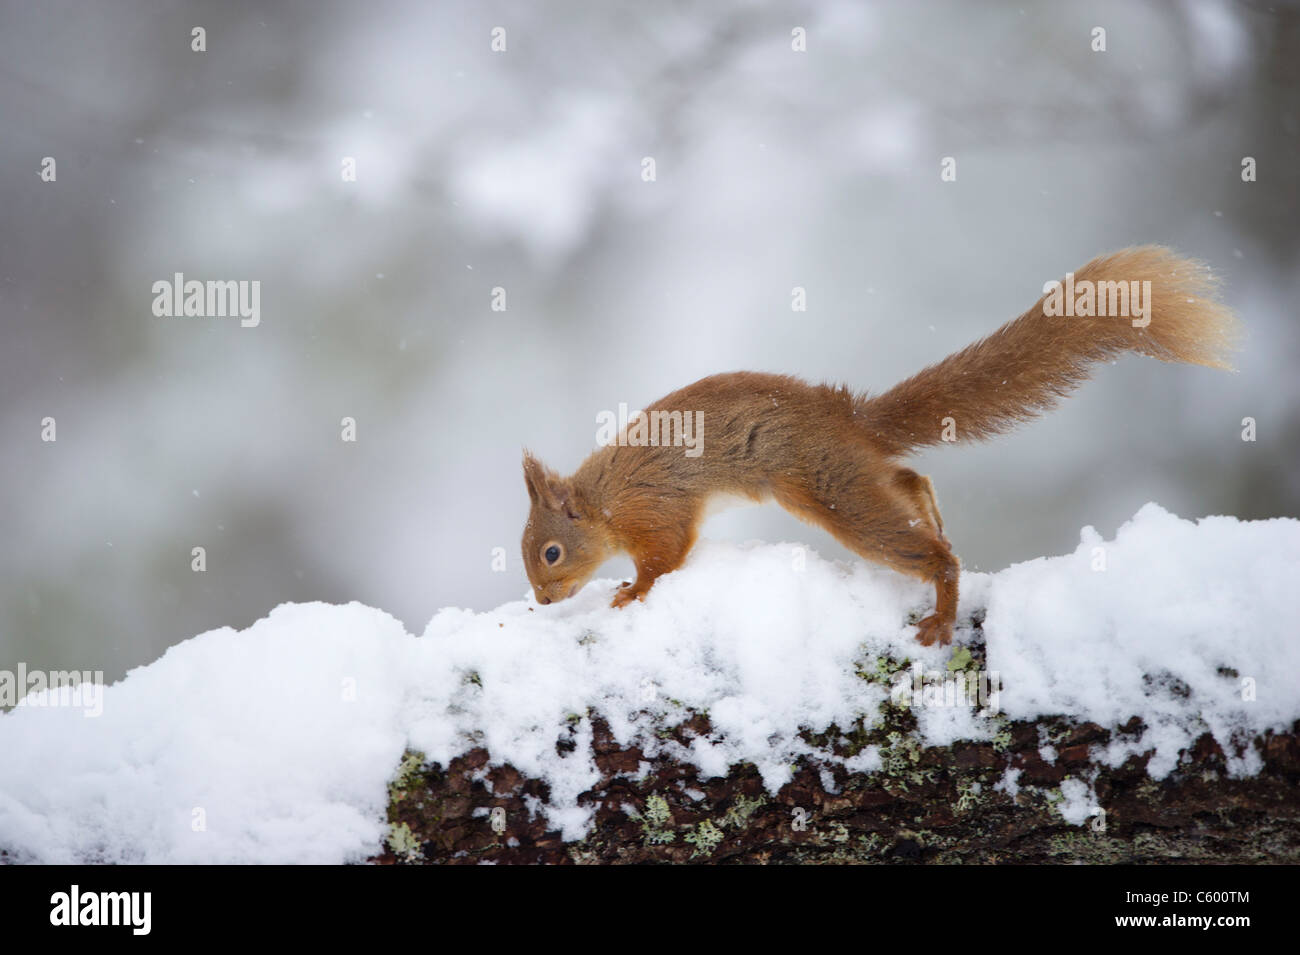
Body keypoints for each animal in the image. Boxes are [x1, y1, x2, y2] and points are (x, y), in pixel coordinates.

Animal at [522, 246, 1242, 647]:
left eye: (551, 551)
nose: (543, 603)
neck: (602, 501)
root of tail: (850, 416)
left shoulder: (655, 509)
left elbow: (665, 559)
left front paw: (631, 592)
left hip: (827, 488)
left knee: (930, 551)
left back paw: (943, 609)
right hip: (846, 476)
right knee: (908, 480)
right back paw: (932, 512)